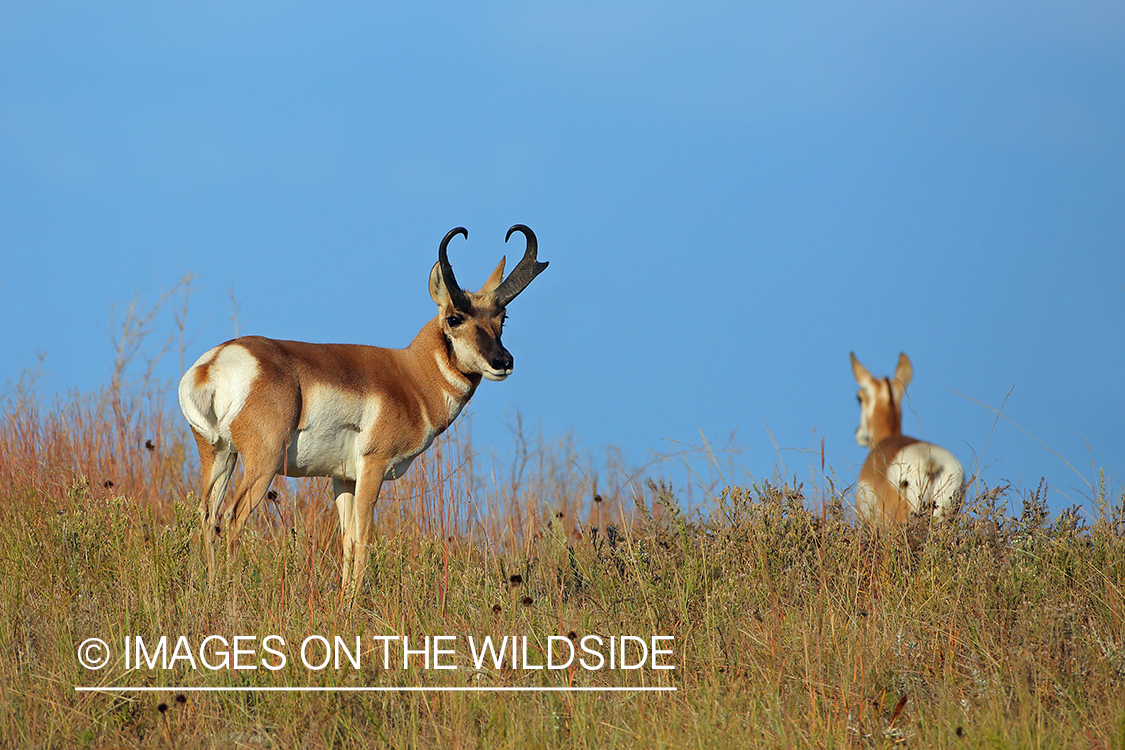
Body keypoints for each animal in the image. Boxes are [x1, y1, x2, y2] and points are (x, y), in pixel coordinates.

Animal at [177, 224, 546, 593]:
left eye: (502, 317)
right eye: (455, 318)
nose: (503, 362)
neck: (411, 376)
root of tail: (215, 362)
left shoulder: (343, 479)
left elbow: (348, 540)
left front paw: (344, 598)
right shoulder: (374, 467)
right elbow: (365, 538)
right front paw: (354, 601)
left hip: (220, 454)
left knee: (209, 514)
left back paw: (213, 589)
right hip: (262, 462)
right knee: (232, 517)